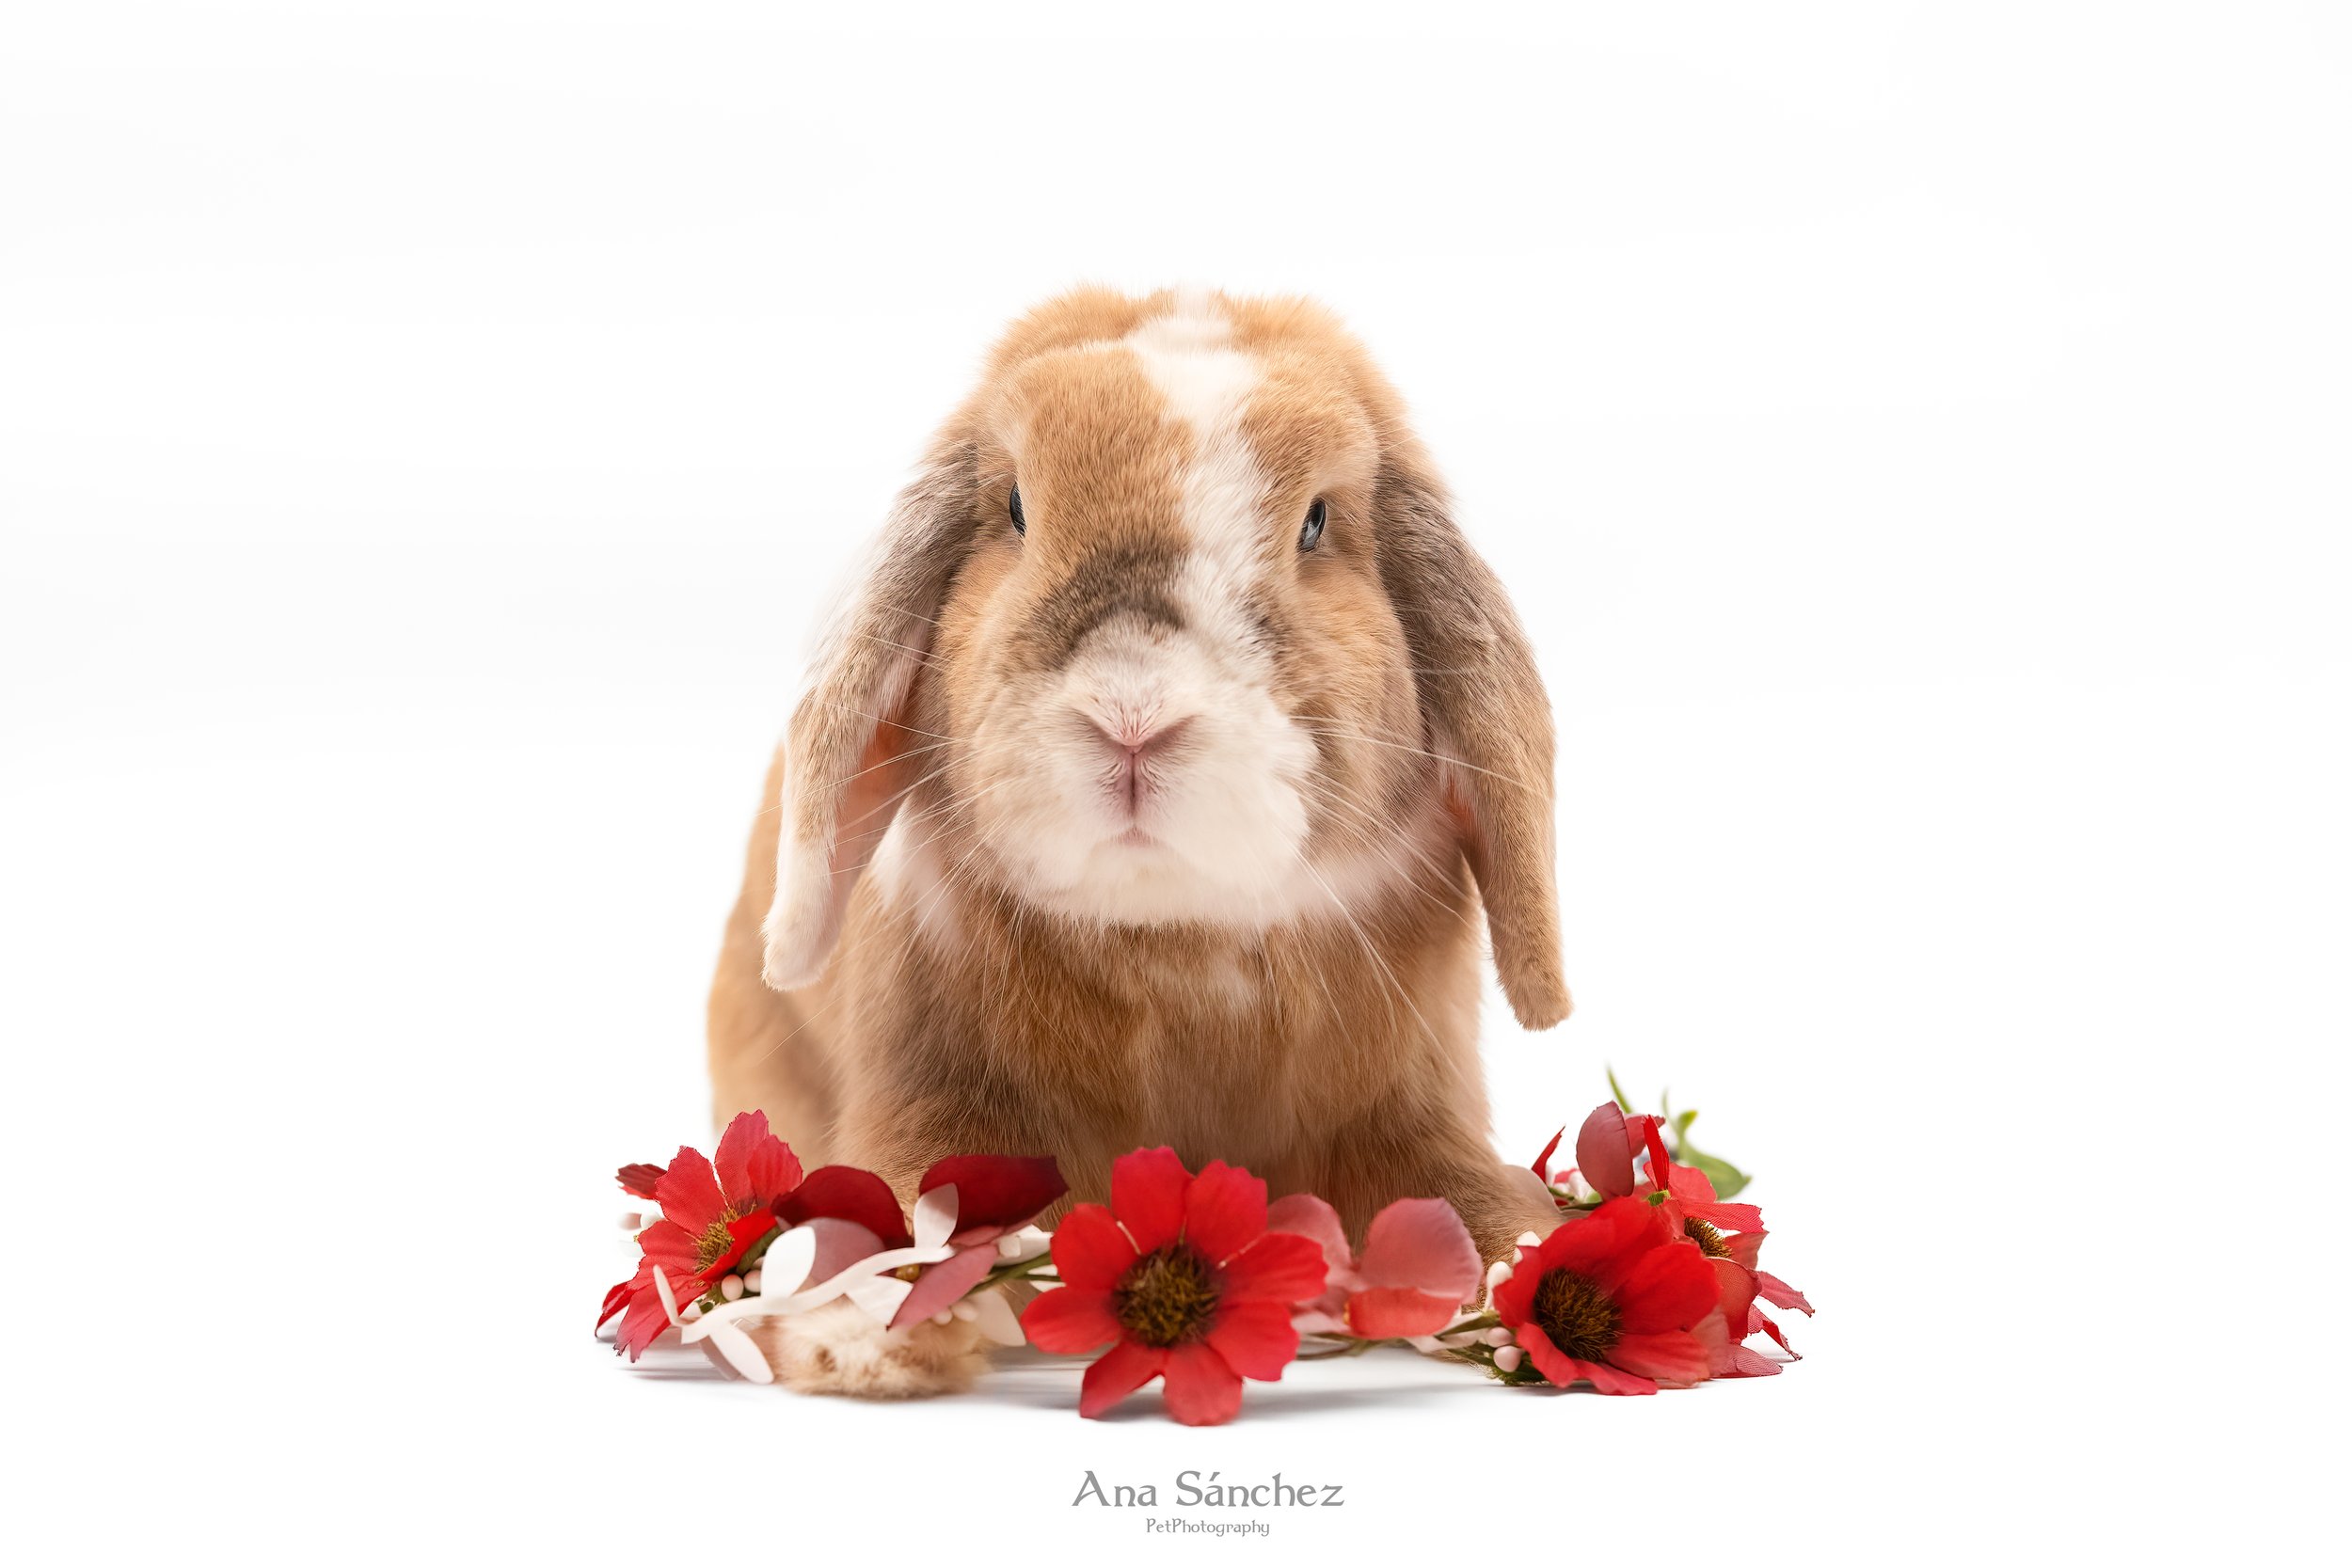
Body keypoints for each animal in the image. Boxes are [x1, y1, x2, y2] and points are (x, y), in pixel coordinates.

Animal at [705, 286, 1572, 1396]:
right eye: (1016, 509)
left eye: (1316, 522)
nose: (1132, 710)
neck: (1178, 939)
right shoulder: (936, 1107)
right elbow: (904, 1215)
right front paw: (862, 1337)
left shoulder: (1412, 1117)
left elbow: (1475, 1206)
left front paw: (1528, 1282)